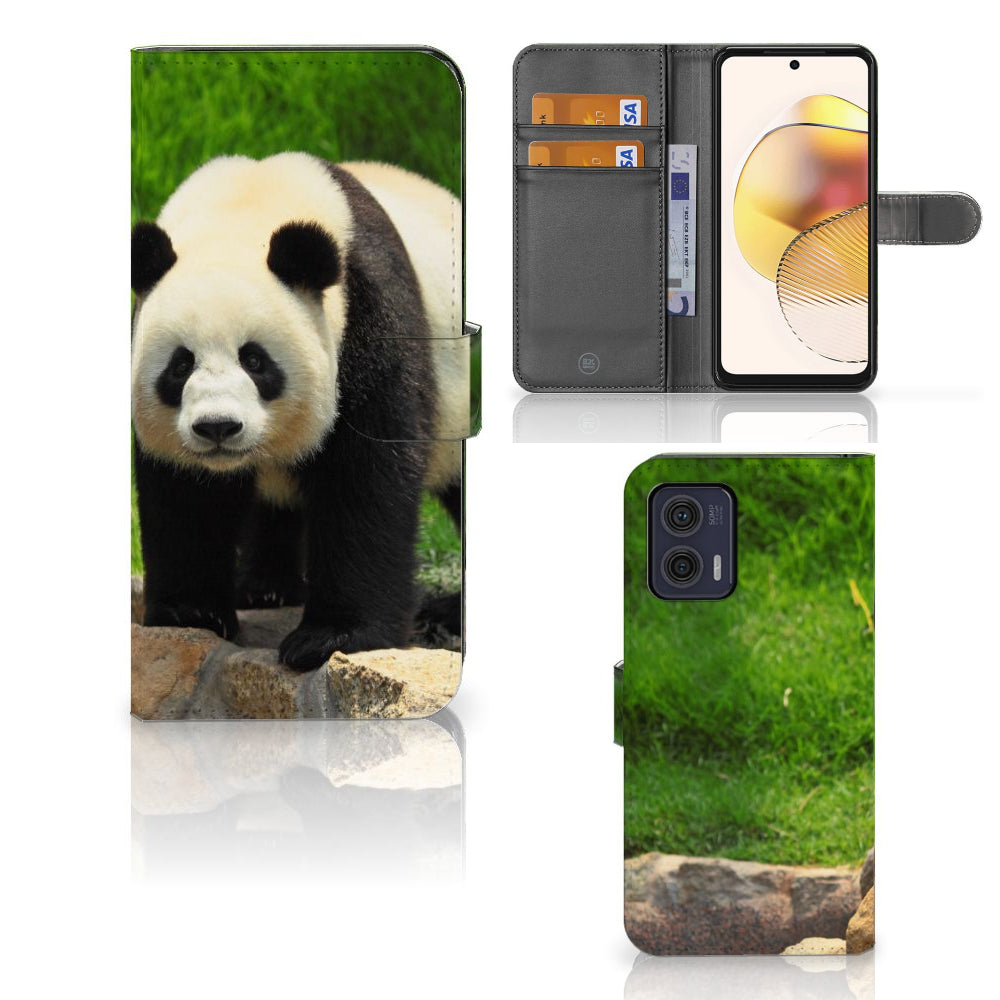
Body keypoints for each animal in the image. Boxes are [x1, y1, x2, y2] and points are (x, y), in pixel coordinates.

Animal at [131, 152, 465, 671]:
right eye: (180, 365)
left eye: (255, 360)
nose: (218, 427)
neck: (244, 208)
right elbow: (186, 493)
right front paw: (192, 613)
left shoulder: (368, 315)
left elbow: (366, 476)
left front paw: (331, 637)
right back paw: (265, 588)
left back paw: (447, 613)